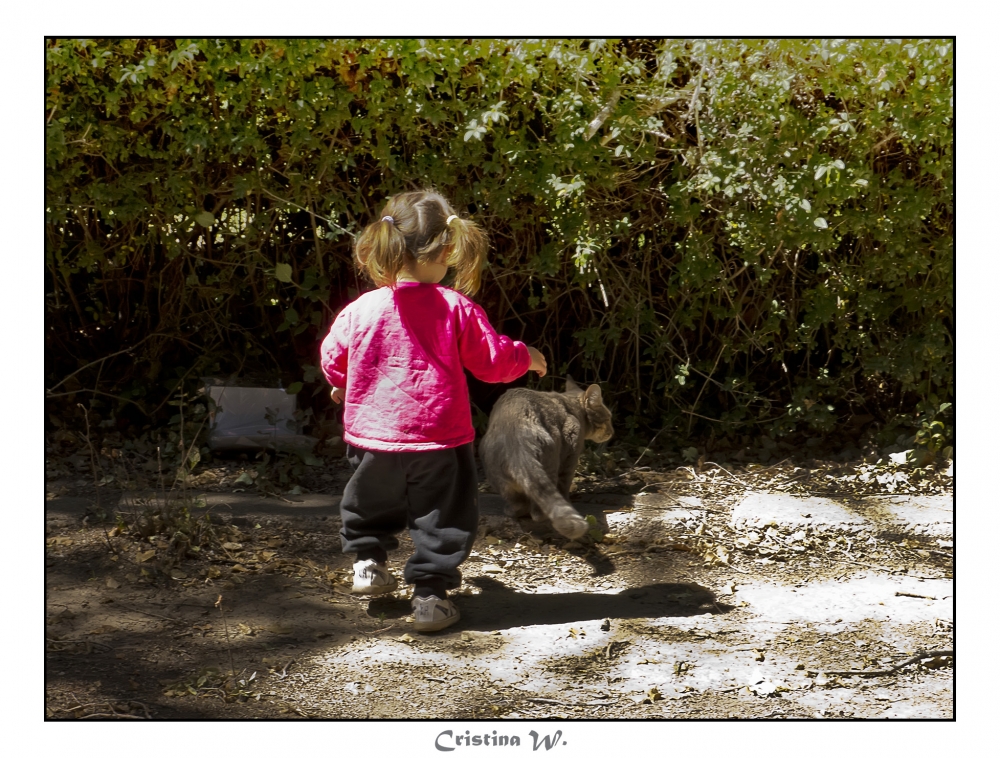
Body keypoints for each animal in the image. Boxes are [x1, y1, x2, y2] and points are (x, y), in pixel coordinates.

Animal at [480, 380, 612, 540]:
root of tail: (516, 438)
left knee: (519, 502)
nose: (612, 432)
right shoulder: (571, 451)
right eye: (608, 418)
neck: (572, 406)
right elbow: (564, 484)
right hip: (552, 461)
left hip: (497, 476)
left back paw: (511, 510)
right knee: (539, 510)